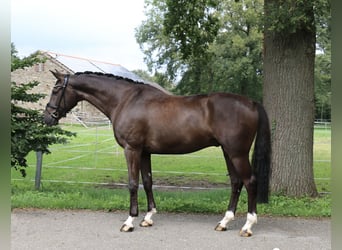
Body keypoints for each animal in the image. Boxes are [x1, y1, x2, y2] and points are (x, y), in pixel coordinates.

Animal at [44, 70, 270, 236]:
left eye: (55, 89)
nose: (47, 117)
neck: (124, 100)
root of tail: (252, 102)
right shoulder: (144, 153)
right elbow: (147, 181)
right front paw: (148, 217)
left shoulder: (132, 150)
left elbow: (133, 183)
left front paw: (130, 221)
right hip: (227, 152)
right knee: (236, 182)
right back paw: (224, 222)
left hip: (237, 153)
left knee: (250, 182)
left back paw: (247, 226)